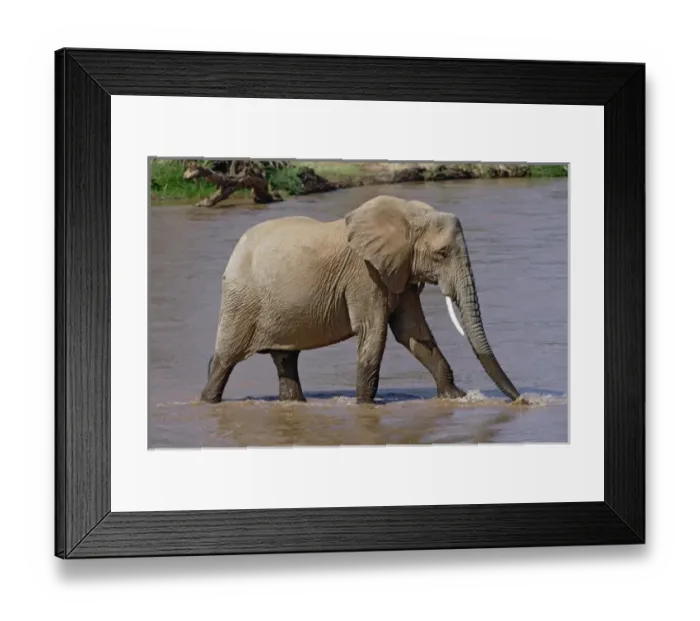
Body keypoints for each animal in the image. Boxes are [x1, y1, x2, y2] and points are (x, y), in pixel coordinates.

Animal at [200, 195, 523, 405]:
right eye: (441, 254)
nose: (522, 400)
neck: (408, 214)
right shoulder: (365, 275)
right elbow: (374, 333)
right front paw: (366, 407)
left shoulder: (399, 272)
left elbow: (413, 333)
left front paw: (454, 398)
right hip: (241, 300)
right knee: (224, 360)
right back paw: (207, 401)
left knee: (285, 359)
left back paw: (294, 404)